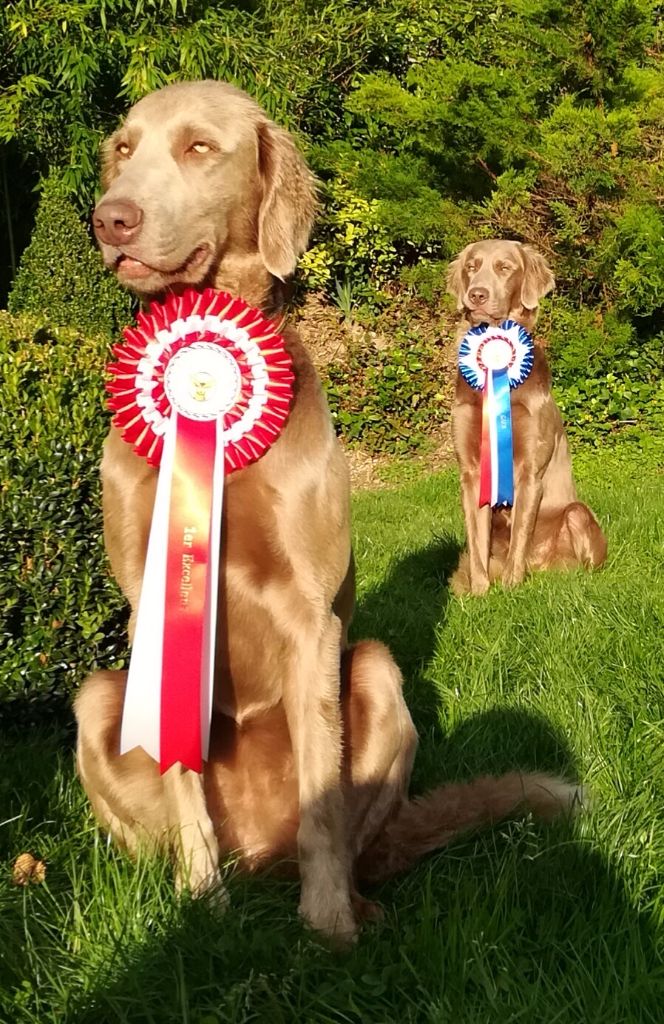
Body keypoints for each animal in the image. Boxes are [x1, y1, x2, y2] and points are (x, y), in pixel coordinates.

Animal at [446, 237, 606, 593]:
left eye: (505, 268)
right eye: (471, 267)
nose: (476, 294)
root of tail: (542, 568)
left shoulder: (530, 470)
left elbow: (520, 531)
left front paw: (509, 588)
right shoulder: (471, 472)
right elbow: (477, 540)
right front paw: (480, 592)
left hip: (577, 514)